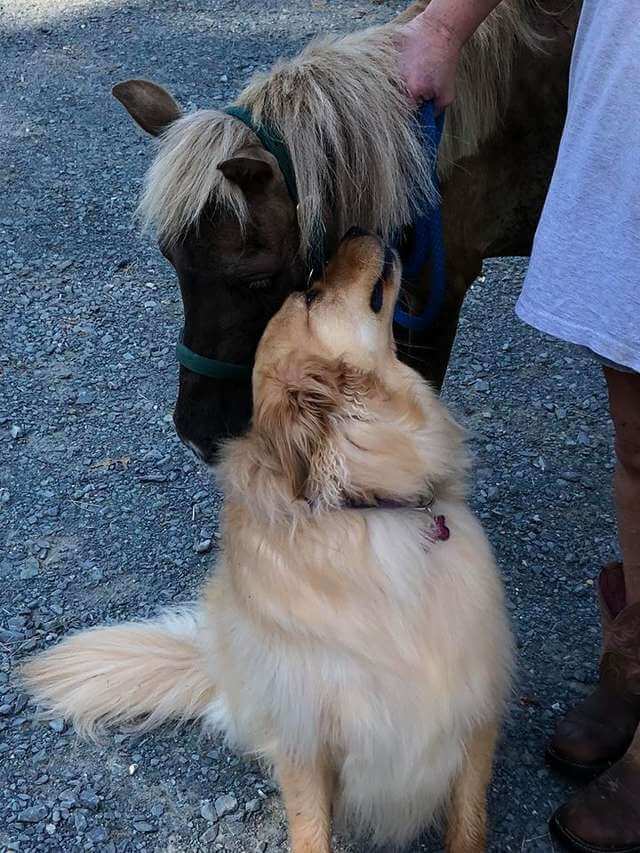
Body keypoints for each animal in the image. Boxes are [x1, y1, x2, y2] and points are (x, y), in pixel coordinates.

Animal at [25, 233, 512, 852]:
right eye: (311, 294)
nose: (359, 231)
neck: (367, 504)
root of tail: (218, 659)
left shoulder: (475, 710)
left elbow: (468, 823)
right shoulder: (305, 734)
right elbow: (310, 828)